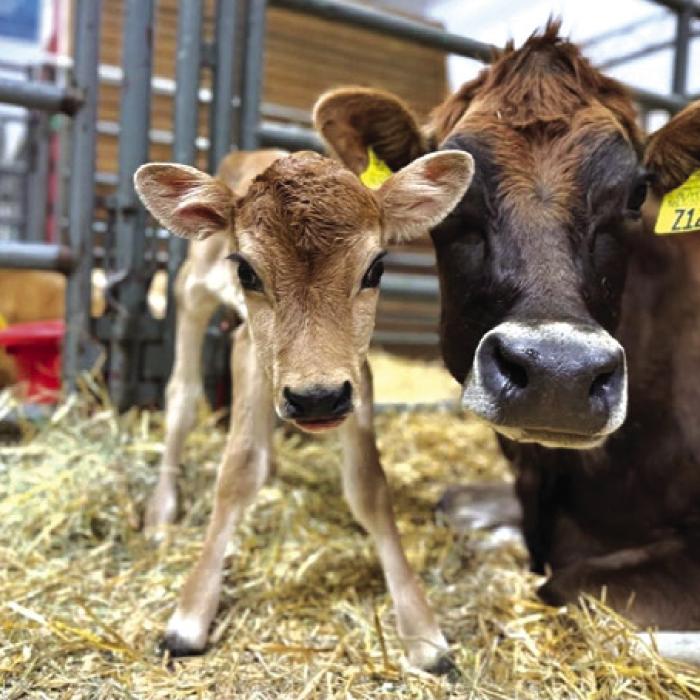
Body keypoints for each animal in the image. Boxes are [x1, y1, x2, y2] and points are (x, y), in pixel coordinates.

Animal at [133, 147, 474, 670]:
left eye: (375, 268)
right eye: (247, 271)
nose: (316, 397)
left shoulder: (356, 371)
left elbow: (369, 486)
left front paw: (422, 631)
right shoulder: (249, 349)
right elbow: (237, 471)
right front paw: (190, 616)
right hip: (190, 290)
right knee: (182, 398)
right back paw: (160, 511)